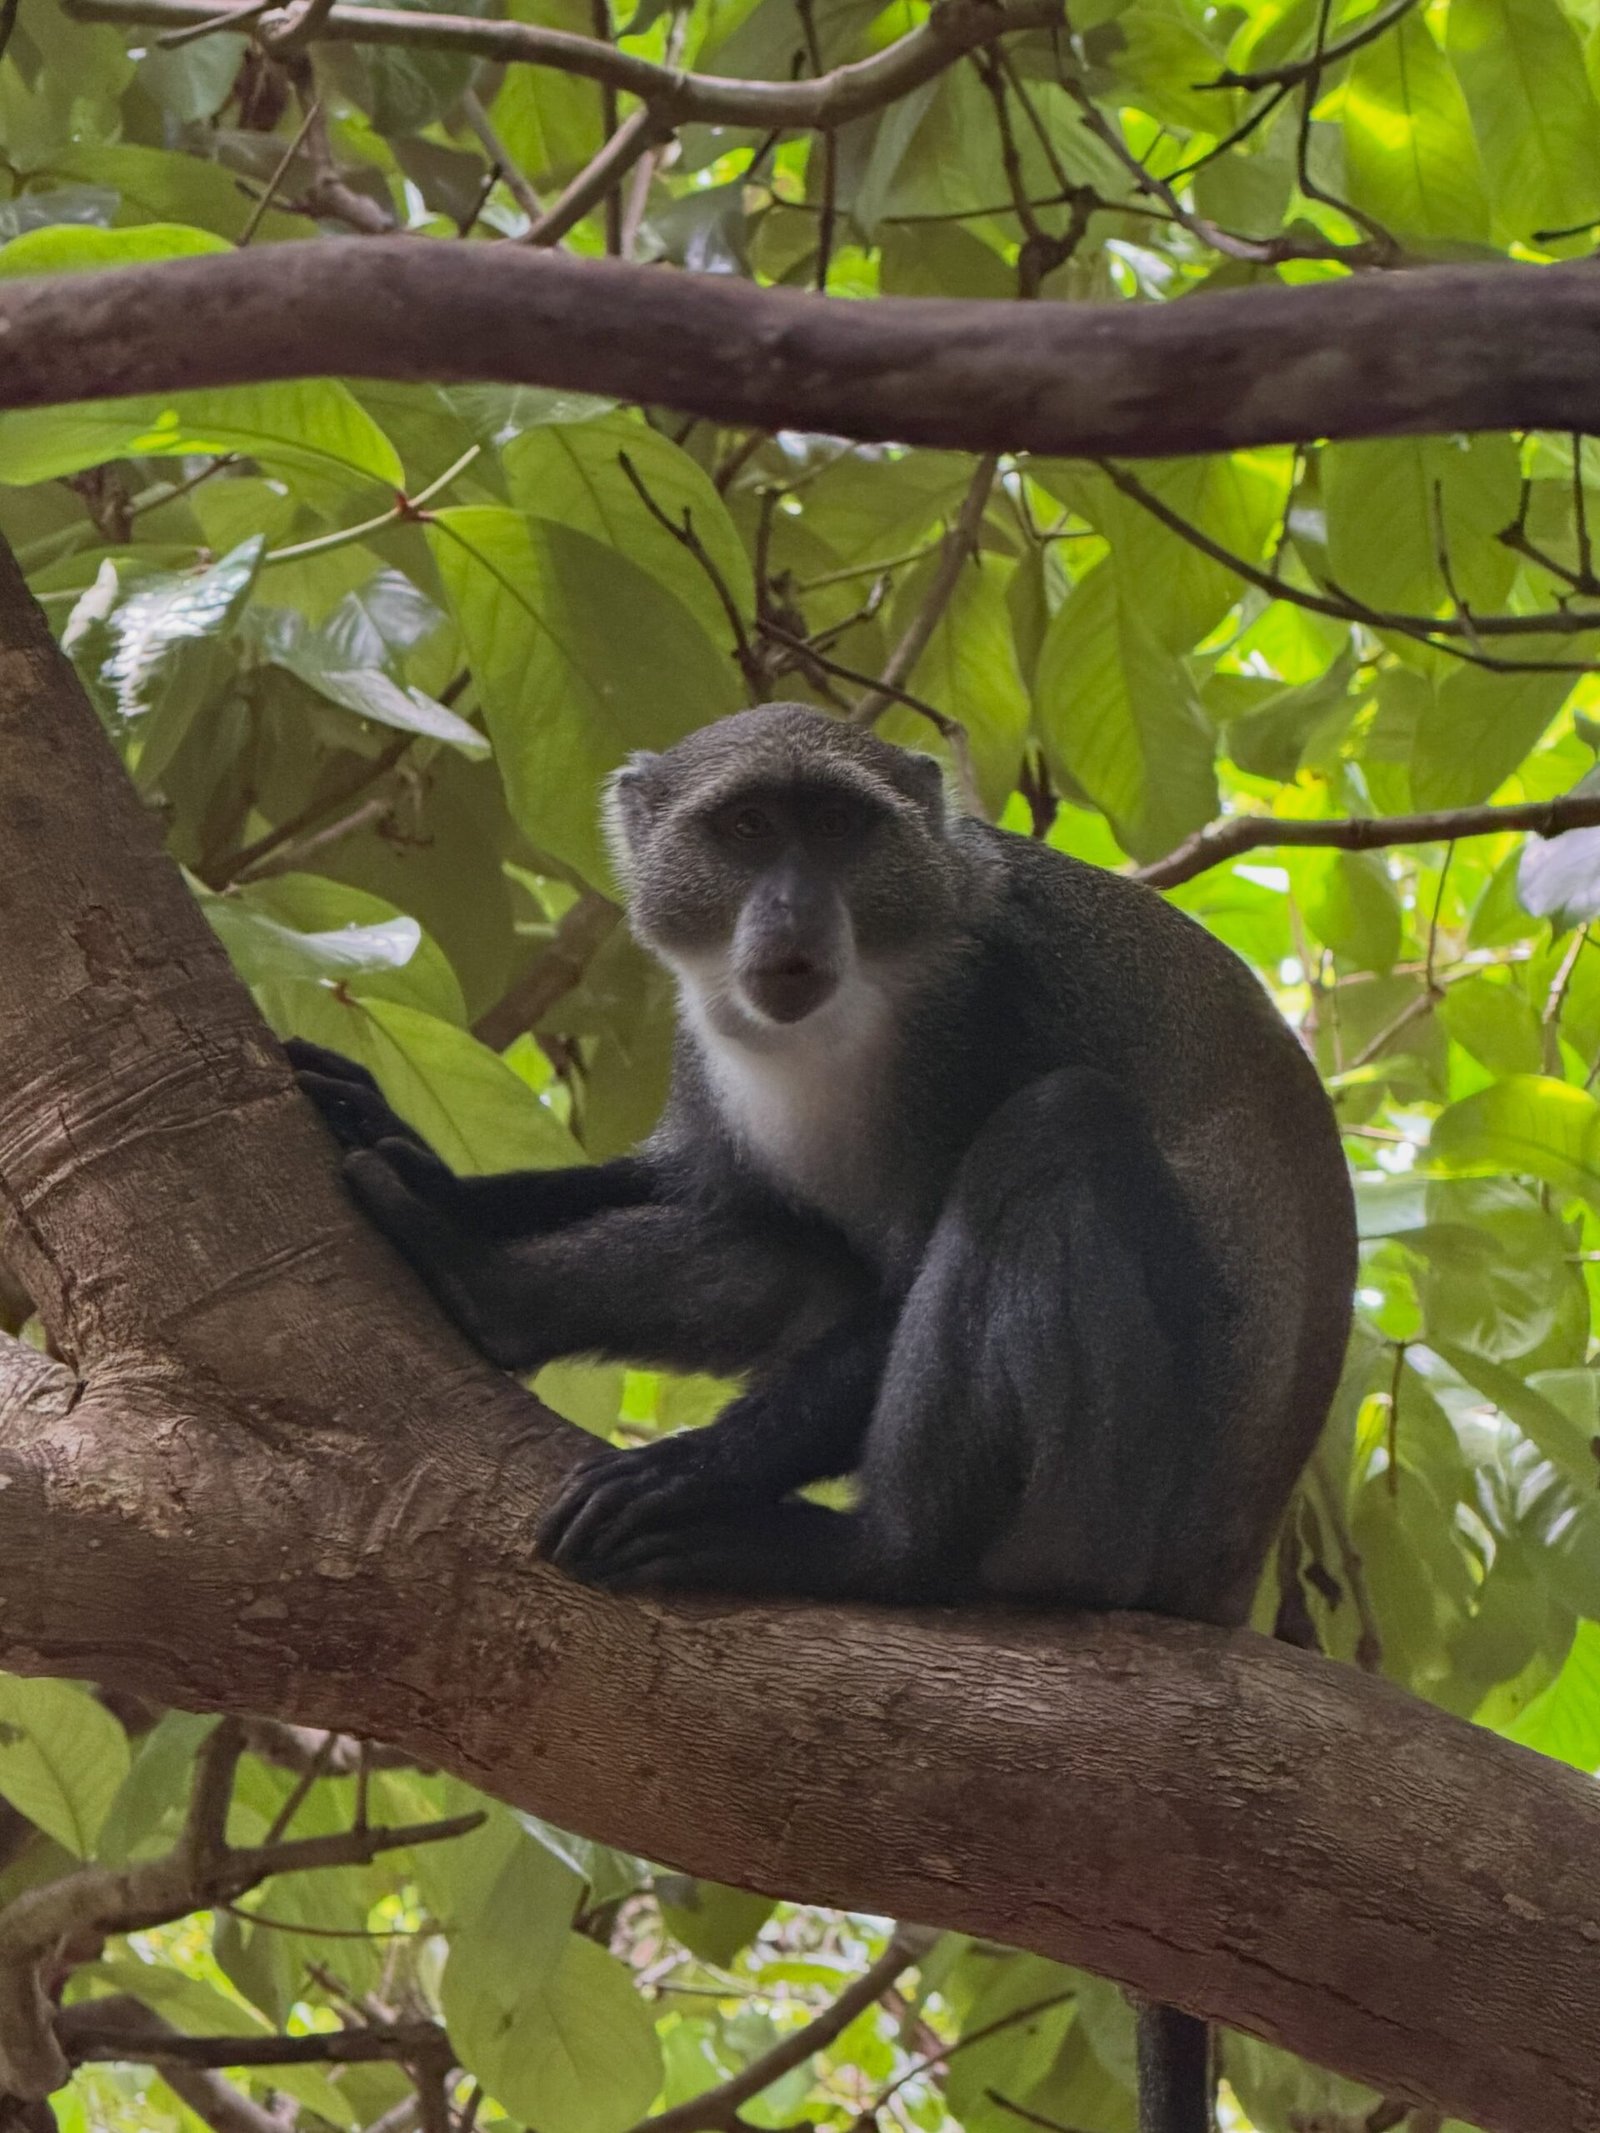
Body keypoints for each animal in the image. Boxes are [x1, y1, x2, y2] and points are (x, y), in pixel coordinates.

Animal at [288, 701, 1356, 2133]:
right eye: (747, 829)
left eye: (841, 830)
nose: (793, 913)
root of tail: (1224, 1575)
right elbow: (721, 1200)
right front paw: (427, 1172)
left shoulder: (992, 1013)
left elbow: (896, 1284)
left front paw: (692, 1477)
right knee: (796, 1251)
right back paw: (481, 1291)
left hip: (1125, 1498)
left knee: (1058, 1133)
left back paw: (874, 1550)